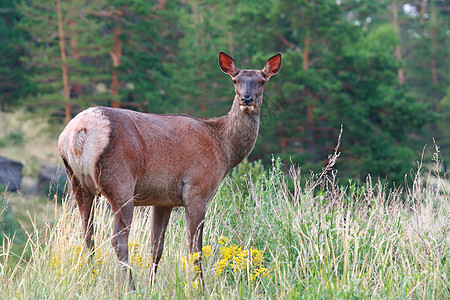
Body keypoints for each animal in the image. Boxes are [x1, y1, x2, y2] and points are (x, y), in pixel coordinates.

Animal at [56, 51, 282, 288]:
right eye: (235, 80)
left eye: (262, 81)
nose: (246, 99)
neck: (223, 150)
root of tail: (78, 133)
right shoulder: (197, 189)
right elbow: (195, 247)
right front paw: (199, 287)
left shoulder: (163, 199)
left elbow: (157, 247)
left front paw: (152, 286)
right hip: (120, 182)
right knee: (118, 239)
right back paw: (130, 287)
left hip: (78, 183)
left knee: (87, 234)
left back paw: (93, 278)